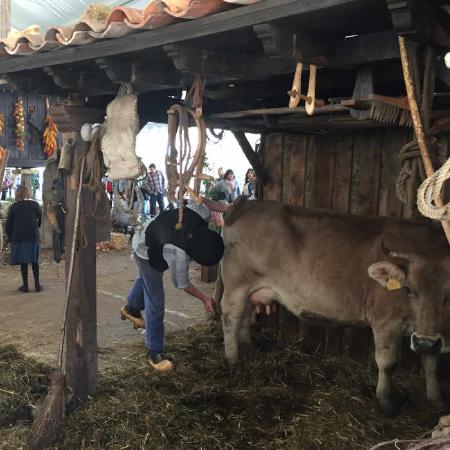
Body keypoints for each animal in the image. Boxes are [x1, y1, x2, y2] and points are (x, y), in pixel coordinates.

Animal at [221, 199, 450, 410]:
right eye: (409, 289)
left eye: (449, 293)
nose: (424, 341)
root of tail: (247, 203)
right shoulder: (386, 321)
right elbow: (387, 362)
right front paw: (385, 400)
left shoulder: (428, 330)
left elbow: (431, 362)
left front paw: (436, 398)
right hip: (236, 285)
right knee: (231, 317)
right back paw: (232, 359)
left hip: (251, 289)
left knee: (245, 314)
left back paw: (247, 346)